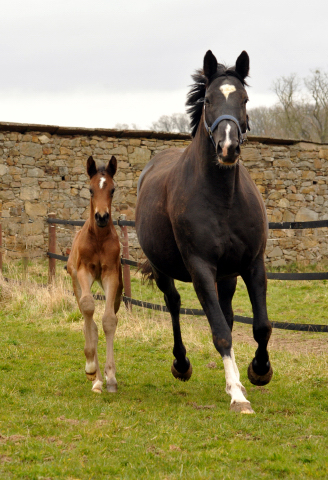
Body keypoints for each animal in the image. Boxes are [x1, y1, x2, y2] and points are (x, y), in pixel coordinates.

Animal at [135, 50, 272, 414]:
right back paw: (182, 365)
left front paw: (259, 371)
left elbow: (261, 326)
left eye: (244, 98)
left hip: (228, 275)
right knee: (174, 305)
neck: (223, 198)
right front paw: (238, 396)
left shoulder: (252, 264)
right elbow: (220, 332)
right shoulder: (201, 269)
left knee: (228, 314)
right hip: (165, 271)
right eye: (209, 99)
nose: (227, 147)